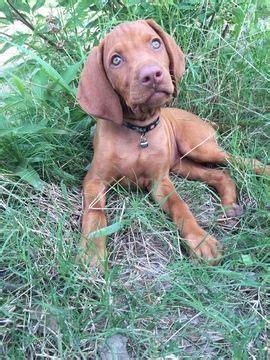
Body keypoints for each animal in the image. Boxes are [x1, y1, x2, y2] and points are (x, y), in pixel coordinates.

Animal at [77, 19, 266, 268]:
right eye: (115, 60)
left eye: (156, 43)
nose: (151, 75)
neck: (139, 133)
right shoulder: (94, 181)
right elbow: (95, 212)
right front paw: (91, 248)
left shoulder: (160, 181)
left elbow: (180, 207)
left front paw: (201, 241)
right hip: (181, 164)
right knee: (220, 175)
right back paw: (229, 208)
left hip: (199, 147)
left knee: (244, 162)